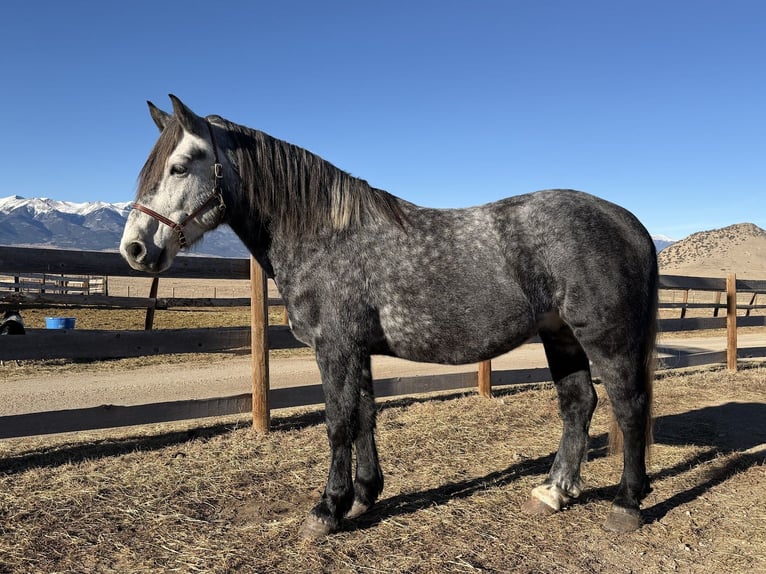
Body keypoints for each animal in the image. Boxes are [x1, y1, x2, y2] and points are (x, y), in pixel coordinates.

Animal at [120, 95, 658, 537]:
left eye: (180, 166)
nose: (135, 249)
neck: (326, 235)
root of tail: (627, 221)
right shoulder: (357, 350)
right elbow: (364, 416)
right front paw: (363, 496)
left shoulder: (335, 348)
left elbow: (338, 422)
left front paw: (327, 509)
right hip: (560, 335)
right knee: (578, 402)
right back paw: (554, 491)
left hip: (605, 337)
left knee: (629, 407)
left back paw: (626, 504)